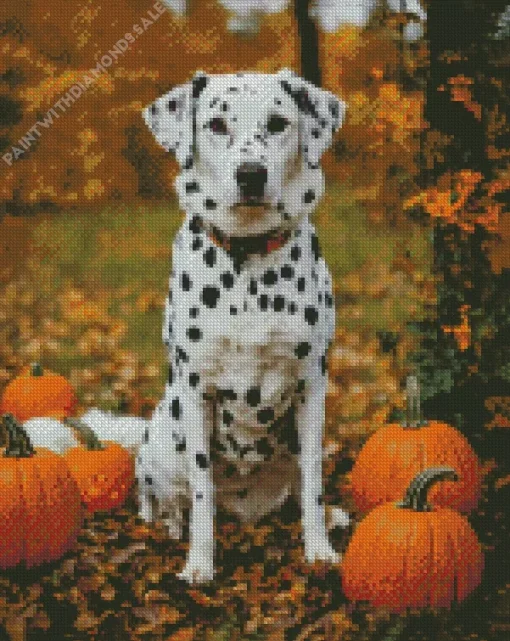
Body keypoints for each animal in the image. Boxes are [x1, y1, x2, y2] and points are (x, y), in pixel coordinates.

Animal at [137, 67, 348, 584]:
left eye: (277, 123)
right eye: (216, 124)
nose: (250, 174)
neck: (249, 266)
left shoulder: (311, 385)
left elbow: (312, 482)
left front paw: (319, 549)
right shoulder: (196, 391)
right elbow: (201, 489)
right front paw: (199, 561)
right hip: (159, 437)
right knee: (160, 496)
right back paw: (170, 523)